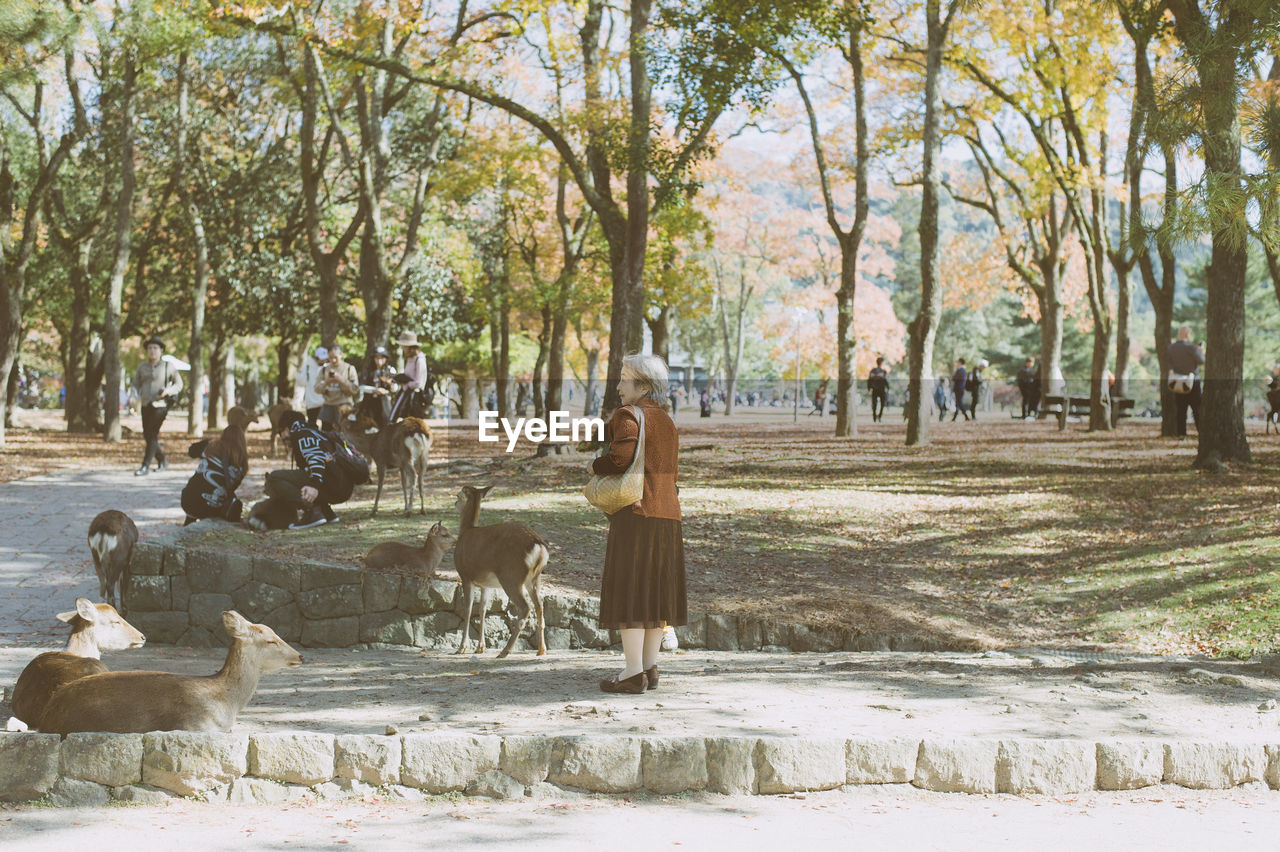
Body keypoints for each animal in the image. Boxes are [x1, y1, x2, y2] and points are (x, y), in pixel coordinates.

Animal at [453, 483, 547, 654]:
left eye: (458, 495)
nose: (455, 503)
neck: (465, 532)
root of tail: (539, 548)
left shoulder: (465, 575)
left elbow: (468, 609)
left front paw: (462, 647)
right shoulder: (485, 584)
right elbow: (483, 609)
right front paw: (480, 647)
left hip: (511, 576)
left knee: (525, 607)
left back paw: (505, 651)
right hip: (534, 579)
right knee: (539, 606)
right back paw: (541, 650)